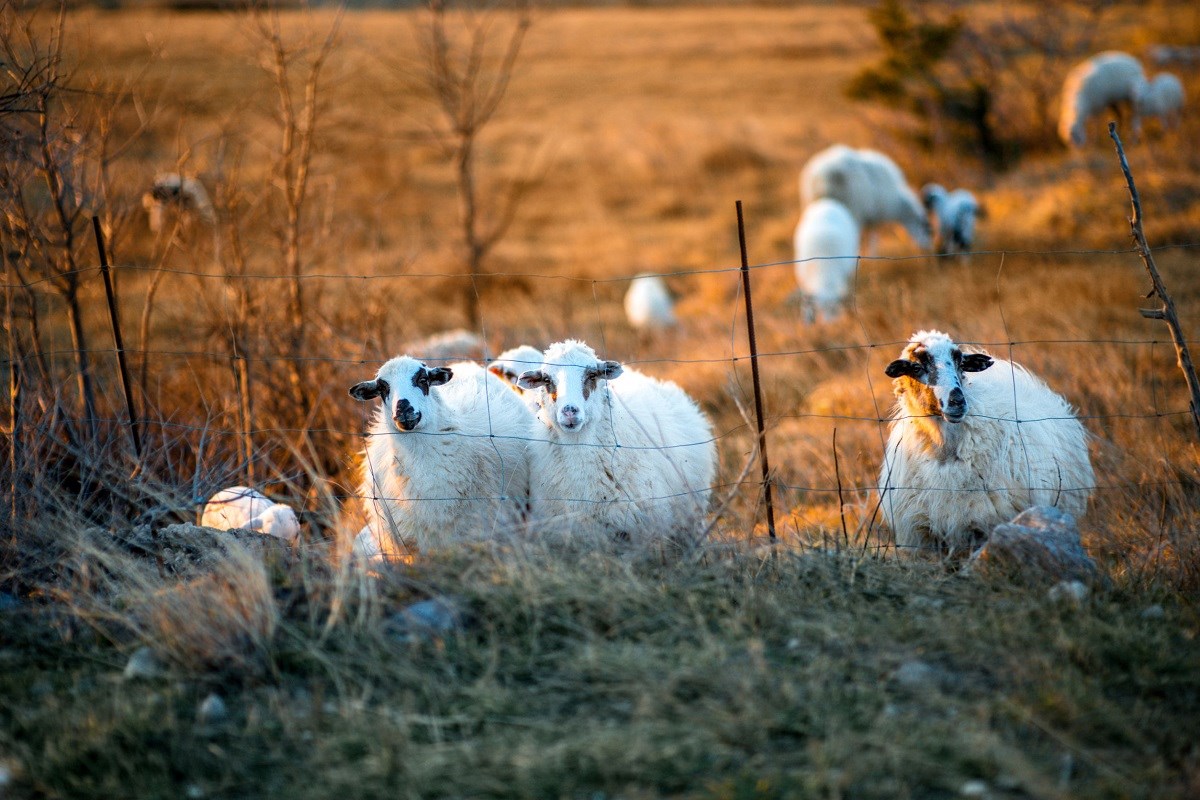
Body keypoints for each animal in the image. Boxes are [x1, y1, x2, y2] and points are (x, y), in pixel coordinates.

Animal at [801, 143, 931, 253]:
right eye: (927, 229)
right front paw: (873, 256)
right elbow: (873, 237)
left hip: (816, 203)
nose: (926, 249)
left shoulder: (870, 215)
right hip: (852, 206)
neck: (898, 204)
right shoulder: (875, 215)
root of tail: (822, 173)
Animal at [878, 331, 1094, 556]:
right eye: (917, 367)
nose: (957, 402)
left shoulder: (984, 526)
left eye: (960, 363)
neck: (945, 449)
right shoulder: (923, 535)